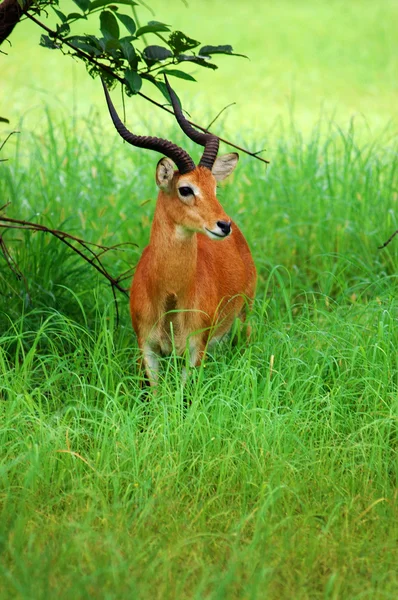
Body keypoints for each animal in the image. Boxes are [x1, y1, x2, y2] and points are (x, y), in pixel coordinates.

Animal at [102, 77, 256, 384]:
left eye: (214, 187)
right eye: (186, 189)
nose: (223, 225)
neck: (171, 297)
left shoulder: (196, 349)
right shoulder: (147, 348)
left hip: (244, 315)